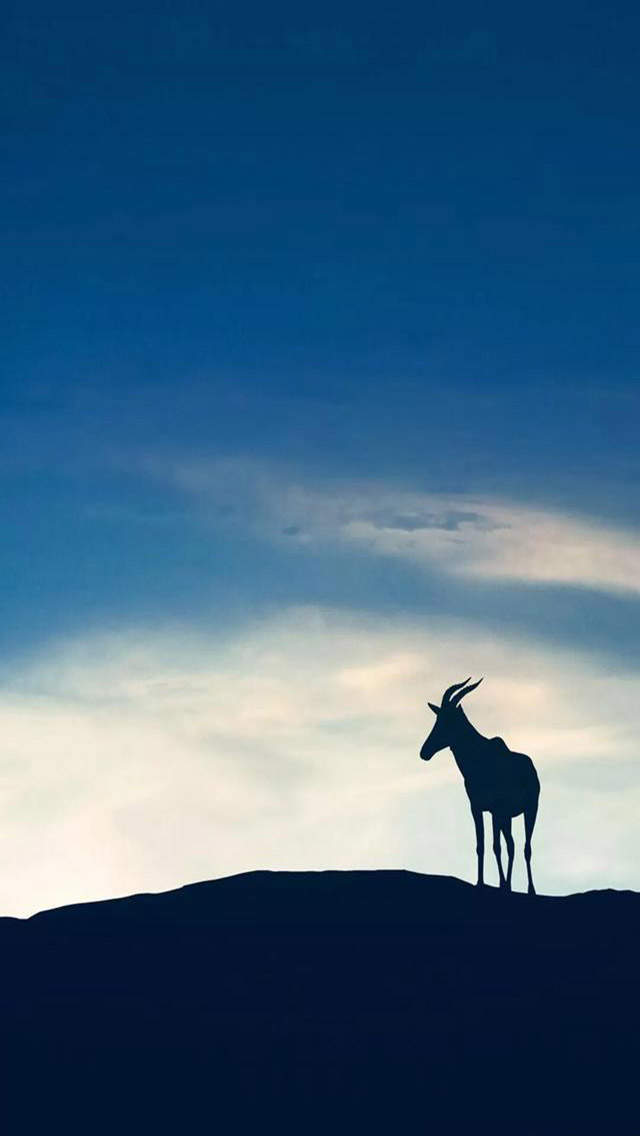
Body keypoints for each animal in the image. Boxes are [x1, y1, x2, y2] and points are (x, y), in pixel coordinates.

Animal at [420, 678, 540, 894]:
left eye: (448, 720)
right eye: (437, 719)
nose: (424, 752)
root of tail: (532, 767)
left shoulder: (495, 810)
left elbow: (495, 846)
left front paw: (499, 884)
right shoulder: (477, 808)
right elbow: (481, 845)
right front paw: (482, 882)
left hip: (530, 810)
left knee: (525, 847)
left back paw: (530, 889)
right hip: (507, 817)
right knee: (512, 845)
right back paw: (509, 885)